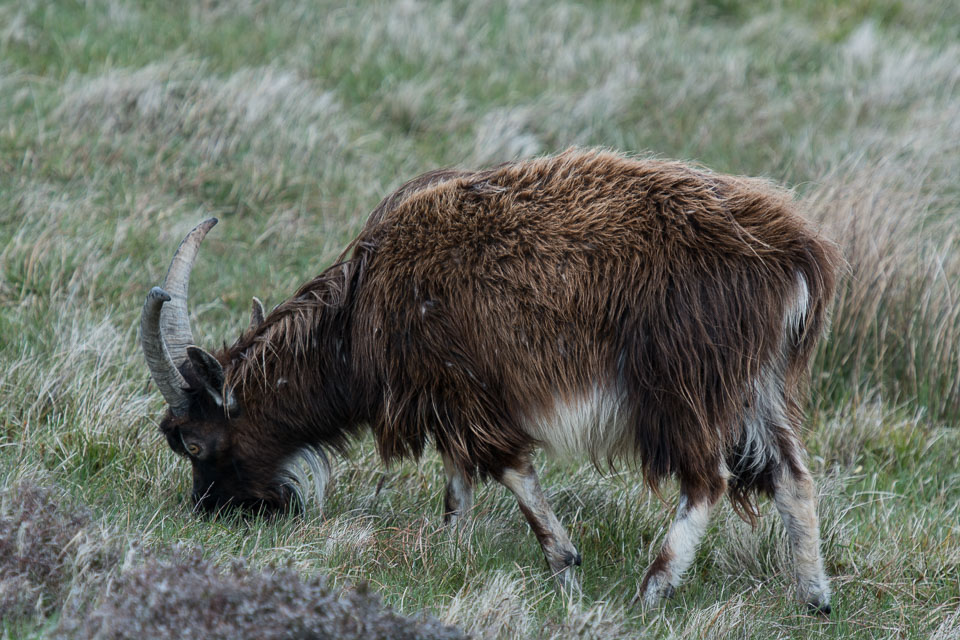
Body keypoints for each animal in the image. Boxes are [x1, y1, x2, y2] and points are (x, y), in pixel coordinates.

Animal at [139, 148, 836, 612]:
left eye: (196, 442)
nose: (211, 512)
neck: (362, 308)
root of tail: (797, 256)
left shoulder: (464, 390)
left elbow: (507, 468)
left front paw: (564, 566)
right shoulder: (443, 398)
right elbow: (457, 483)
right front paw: (449, 555)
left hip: (685, 386)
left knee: (707, 480)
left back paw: (653, 588)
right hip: (755, 387)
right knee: (790, 473)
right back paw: (815, 596)